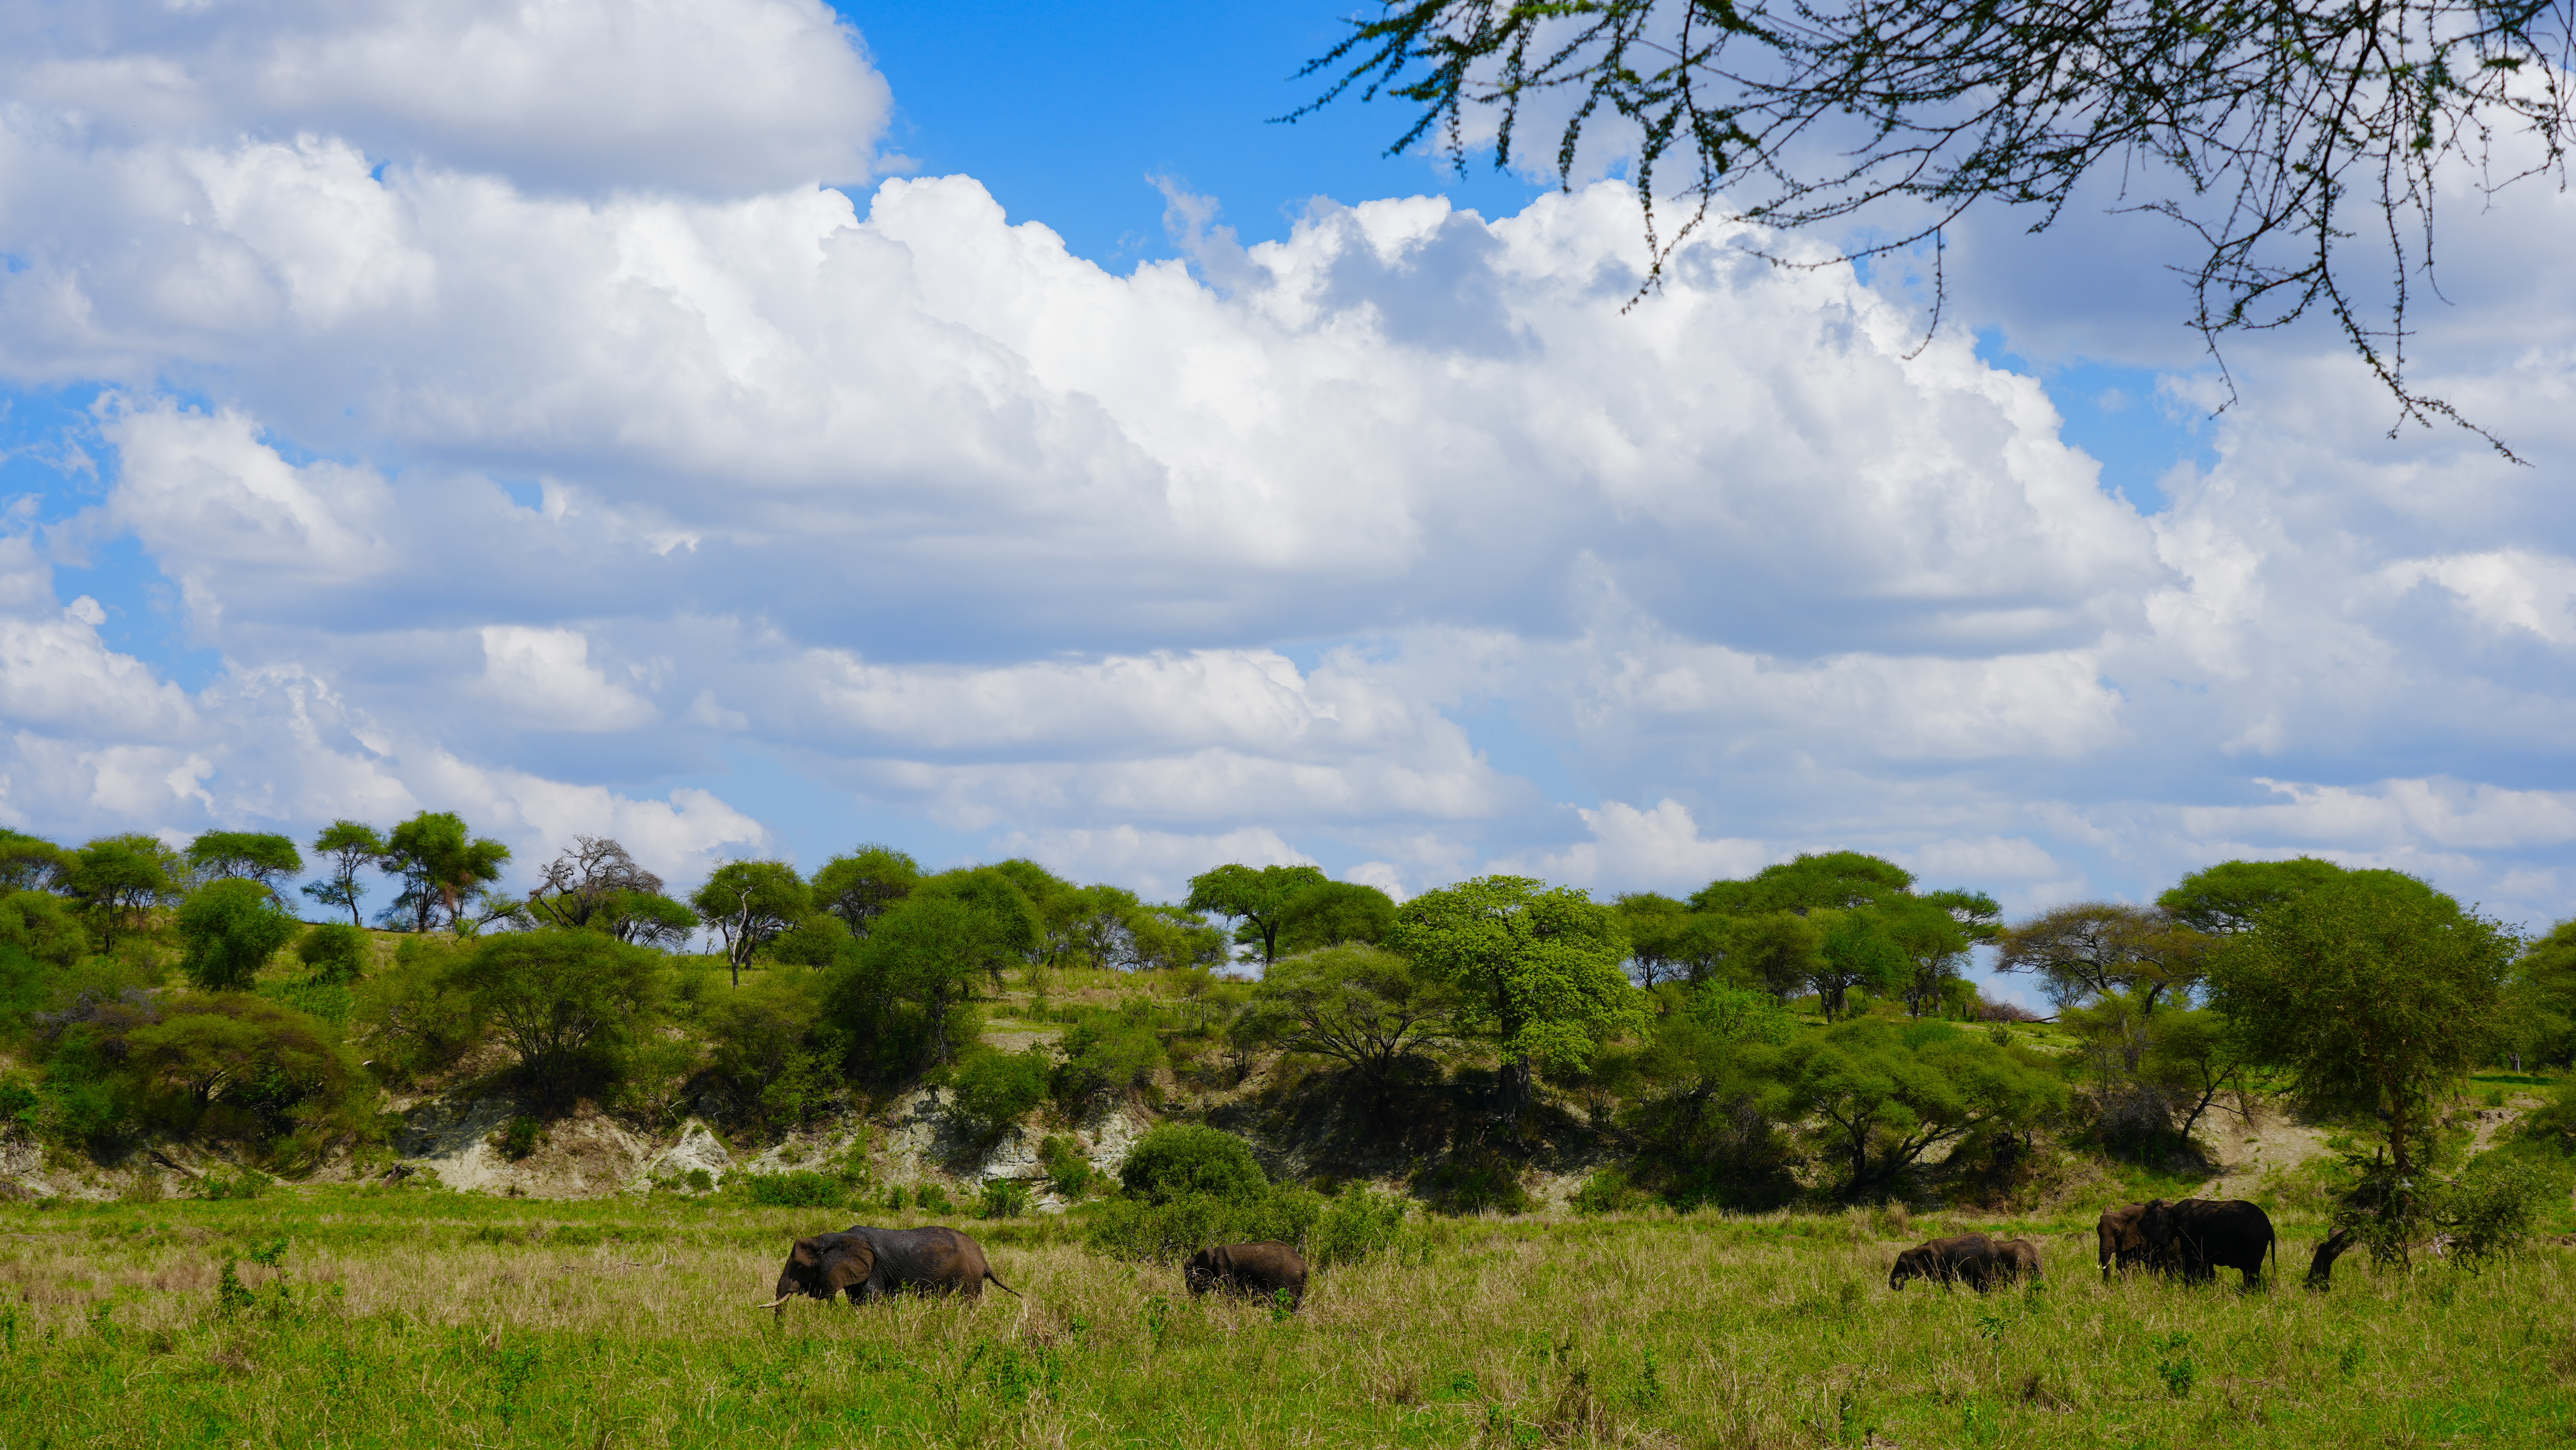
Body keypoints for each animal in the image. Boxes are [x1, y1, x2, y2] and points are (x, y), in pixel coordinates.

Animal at [756, 1225, 1019, 1316]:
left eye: (801, 1267)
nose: (779, 1333)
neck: (834, 1238)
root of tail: (982, 1257)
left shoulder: (873, 1271)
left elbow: (873, 1303)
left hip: (967, 1276)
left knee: (967, 1300)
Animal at [1888, 1233, 2006, 1291]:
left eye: (1902, 1264)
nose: (1899, 1279)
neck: (1916, 1250)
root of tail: (1994, 1247)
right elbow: (1946, 1283)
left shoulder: (1938, 1263)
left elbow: (1933, 1282)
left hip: (1987, 1262)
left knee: (1987, 1282)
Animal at [2139, 1198, 2276, 1289]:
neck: (2172, 1210)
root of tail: (2269, 1227)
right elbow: (2205, 1265)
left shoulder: (2189, 1231)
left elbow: (2192, 1262)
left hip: (2254, 1242)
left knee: (2251, 1272)